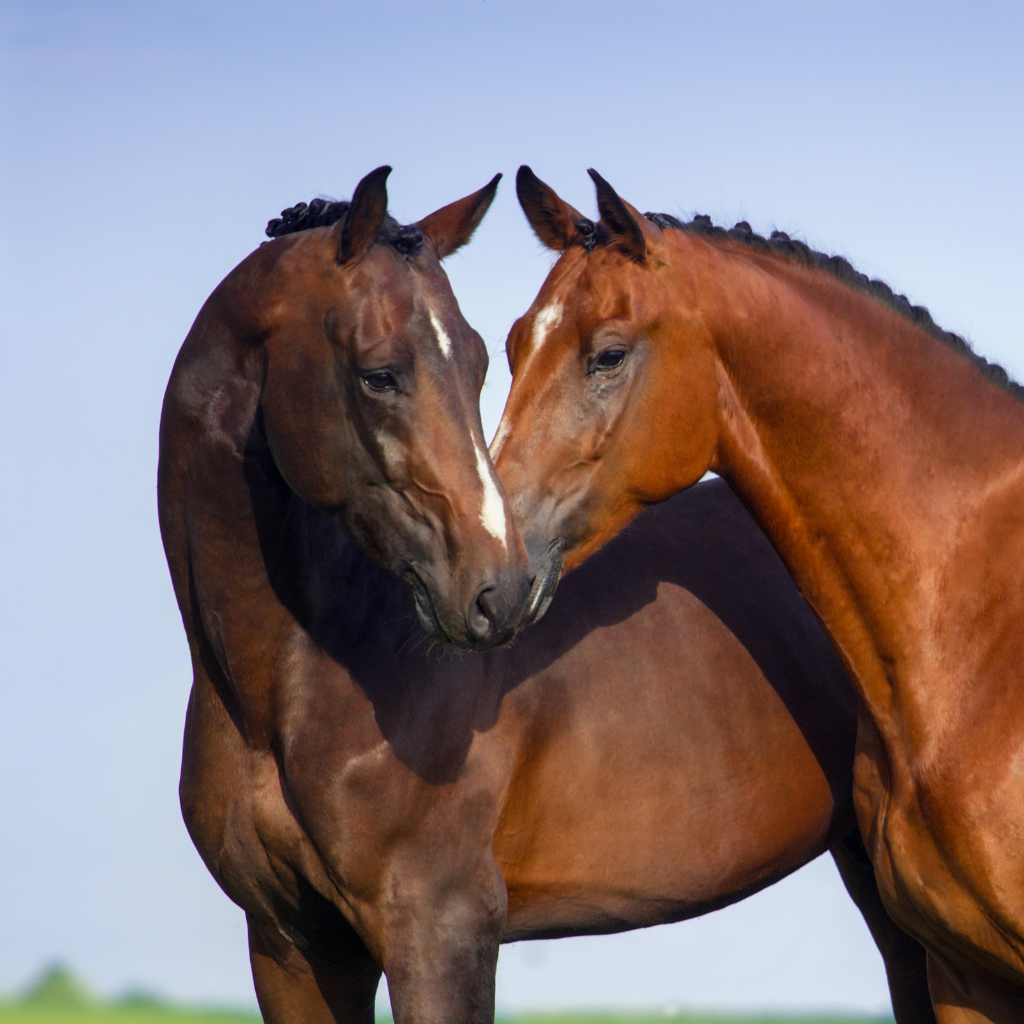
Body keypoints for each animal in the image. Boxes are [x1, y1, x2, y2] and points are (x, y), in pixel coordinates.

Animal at [155, 167, 933, 1024]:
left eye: (474, 364)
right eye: (378, 372)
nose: (497, 590)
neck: (287, 686)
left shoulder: (440, 929)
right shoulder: (291, 944)